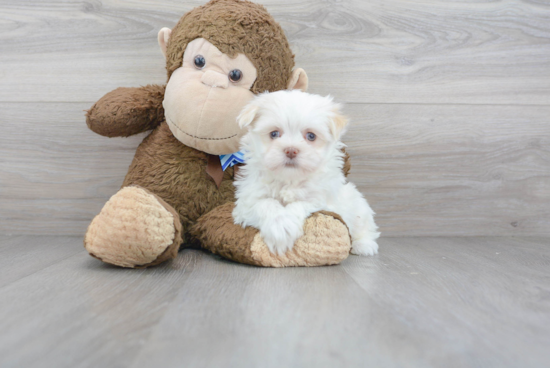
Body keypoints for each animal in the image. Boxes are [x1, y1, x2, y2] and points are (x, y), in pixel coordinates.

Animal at [232, 89, 380, 256]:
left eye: (311, 136)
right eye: (274, 134)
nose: (291, 150)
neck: (289, 180)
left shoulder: (321, 201)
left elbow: (300, 203)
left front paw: (284, 227)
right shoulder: (247, 201)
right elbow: (266, 203)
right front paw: (280, 227)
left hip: (358, 205)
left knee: (364, 227)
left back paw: (364, 245)